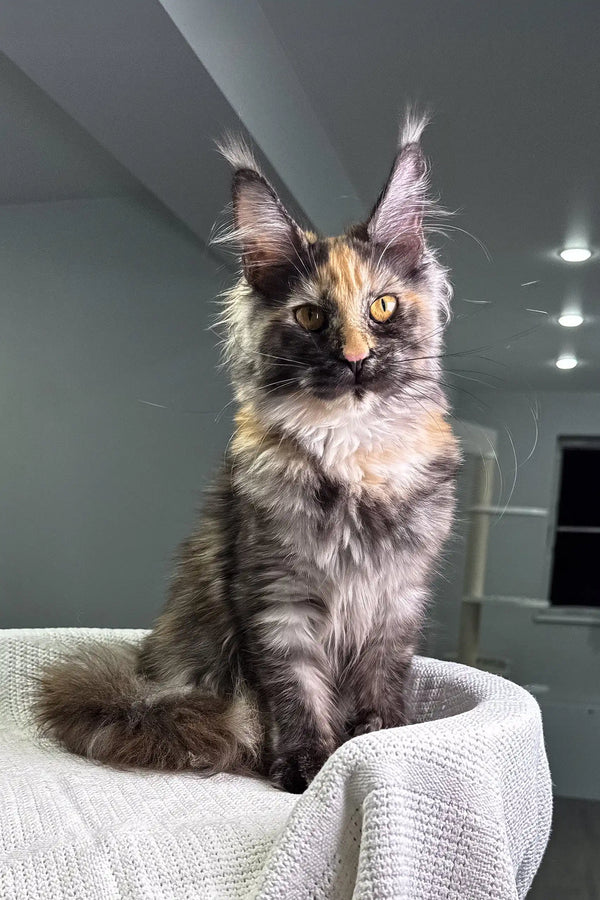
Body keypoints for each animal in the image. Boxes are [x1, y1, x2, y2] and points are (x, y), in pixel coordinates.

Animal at [36, 114, 460, 796]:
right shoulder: (274, 599)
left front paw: (382, 744)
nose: (355, 358)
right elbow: (295, 690)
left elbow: (383, 683)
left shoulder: (397, 601)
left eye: (383, 306)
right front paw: (309, 766)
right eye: (310, 316)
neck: (354, 456)